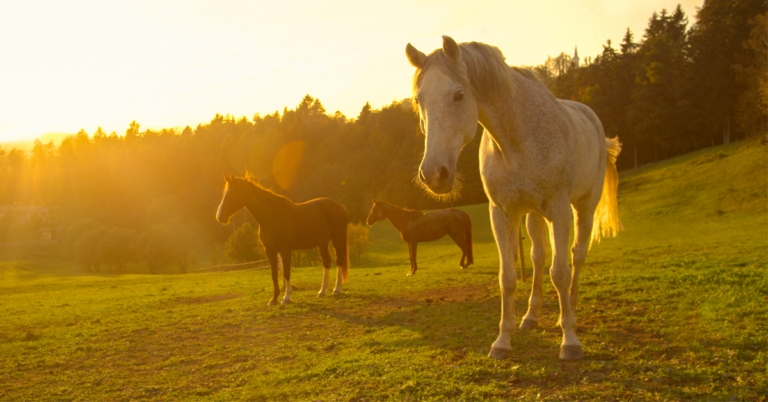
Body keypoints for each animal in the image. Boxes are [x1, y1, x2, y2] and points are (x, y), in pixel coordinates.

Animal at [216, 174, 349, 305]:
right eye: (224, 193)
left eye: (233, 193)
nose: (219, 217)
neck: (272, 216)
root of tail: (340, 206)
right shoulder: (269, 250)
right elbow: (274, 274)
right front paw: (274, 299)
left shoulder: (285, 250)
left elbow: (286, 272)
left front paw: (286, 297)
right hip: (322, 243)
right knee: (327, 262)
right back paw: (322, 291)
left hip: (337, 239)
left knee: (338, 261)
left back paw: (336, 289)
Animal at [405, 36, 622, 360]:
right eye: (419, 101)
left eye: (458, 95)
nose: (433, 173)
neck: (516, 139)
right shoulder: (502, 213)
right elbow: (507, 277)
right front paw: (502, 341)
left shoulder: (559, 209)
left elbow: (560, 272)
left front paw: (569, 340)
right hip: (533, 216)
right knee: (538, 257)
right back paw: (532, 316)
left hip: (583, 208)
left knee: (576, 256)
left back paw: (571, 309)